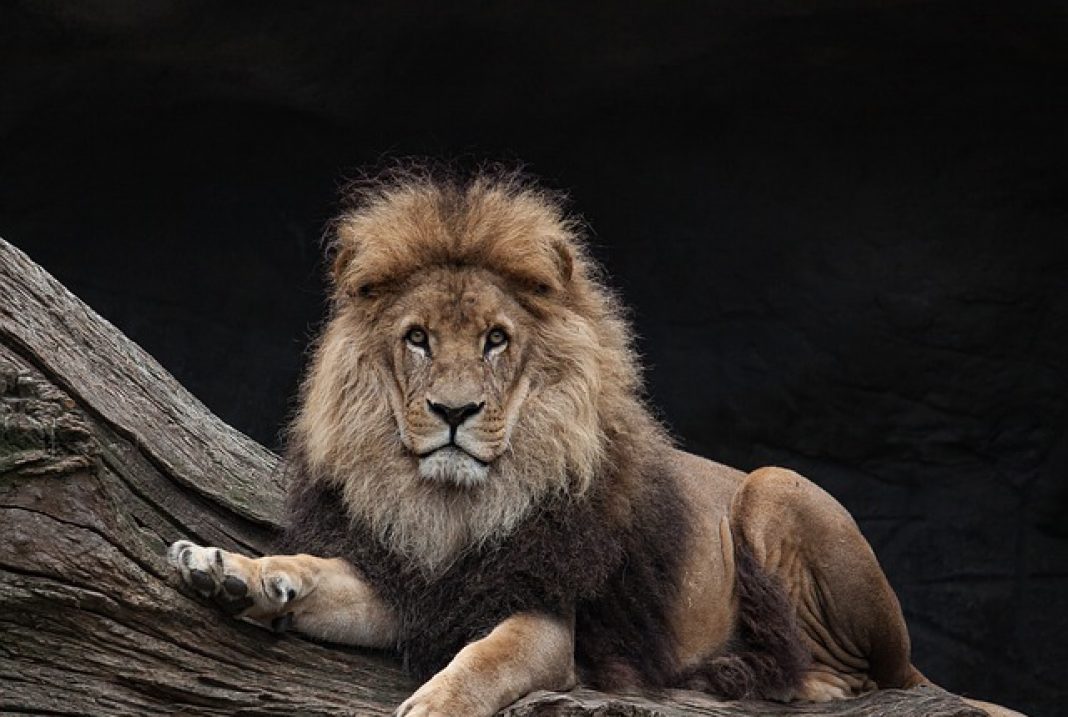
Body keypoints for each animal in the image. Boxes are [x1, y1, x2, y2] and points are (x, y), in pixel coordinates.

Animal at [167, 168, 1019, 717]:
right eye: (416, 338)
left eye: (496, 339)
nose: (453, 410)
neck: (452, 507)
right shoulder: (418, 584)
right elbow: (317, 570)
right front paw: (231, 569)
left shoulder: (548, 618)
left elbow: (487, 660)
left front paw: (434, 703)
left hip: (778, 487)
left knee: (866, 677)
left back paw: (759, 676)